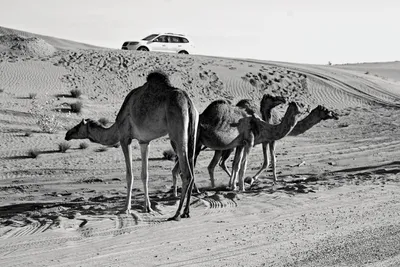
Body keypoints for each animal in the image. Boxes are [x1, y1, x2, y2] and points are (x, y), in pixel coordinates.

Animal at [64, 70, 200, 221]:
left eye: (77, 127)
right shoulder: (144, 141)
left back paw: (176, 213)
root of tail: (188, 102)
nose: (67, 134)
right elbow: (145, 174)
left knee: (186, 174)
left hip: (177, 134)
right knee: (192, 170)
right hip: (192, 133)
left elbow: (130, 175)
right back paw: (186, 212)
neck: (116, 127)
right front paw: (147, 207)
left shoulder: (125, 138)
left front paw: (126, 208)